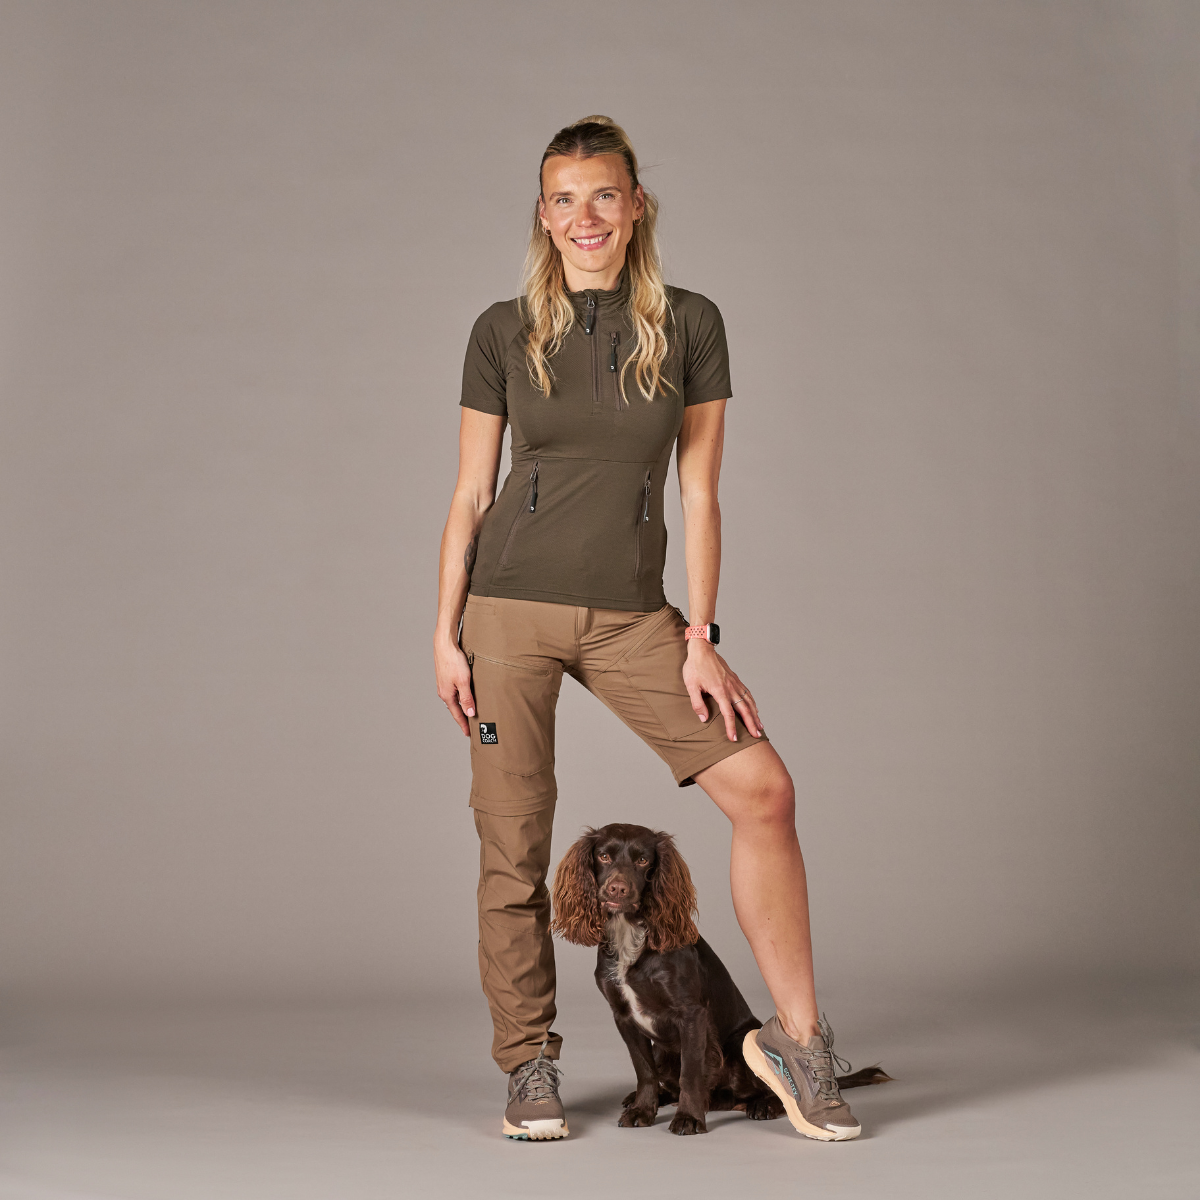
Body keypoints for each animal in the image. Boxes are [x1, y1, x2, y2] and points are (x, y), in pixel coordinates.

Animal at [551, 822, 888, 1135]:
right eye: (604, 856)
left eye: (643, 860)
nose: (617, 889)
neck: (629, 935)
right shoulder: (622, 1016)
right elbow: (644, 1070)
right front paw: (643, 1109)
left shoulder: (692, 1013)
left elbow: (691, 1072)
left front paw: (688, 1117)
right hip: (664, 1050)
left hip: (740, 1041)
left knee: (762, 1088)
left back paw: (762, 1105)